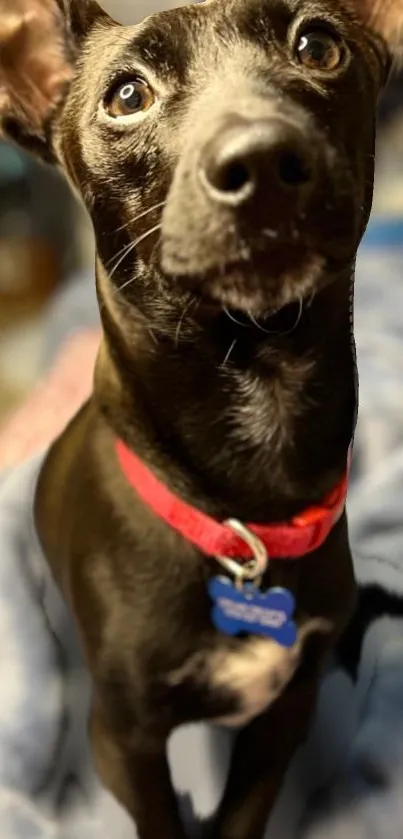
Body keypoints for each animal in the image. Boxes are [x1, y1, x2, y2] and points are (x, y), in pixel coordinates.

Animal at [1, 1, 402, 839]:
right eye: (126, 95)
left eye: (318, 45)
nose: (265, 161)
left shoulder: (285, 713)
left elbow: (242, 812)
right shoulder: (123, 740)